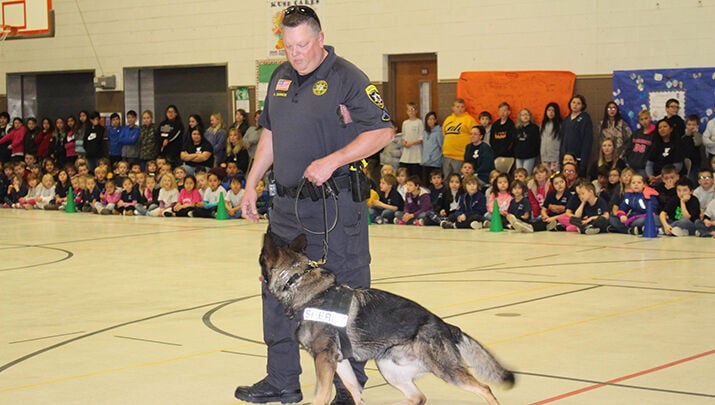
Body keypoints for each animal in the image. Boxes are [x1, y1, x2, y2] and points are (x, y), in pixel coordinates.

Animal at [262, 234, 516, 404]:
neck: (299, 282)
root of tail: (446, 326)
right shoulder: (339, 362)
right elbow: (355, 391)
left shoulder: (324, 360)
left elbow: (320, 396)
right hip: (388, 368)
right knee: (418, 397)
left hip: (445, 371)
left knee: (484, 389)